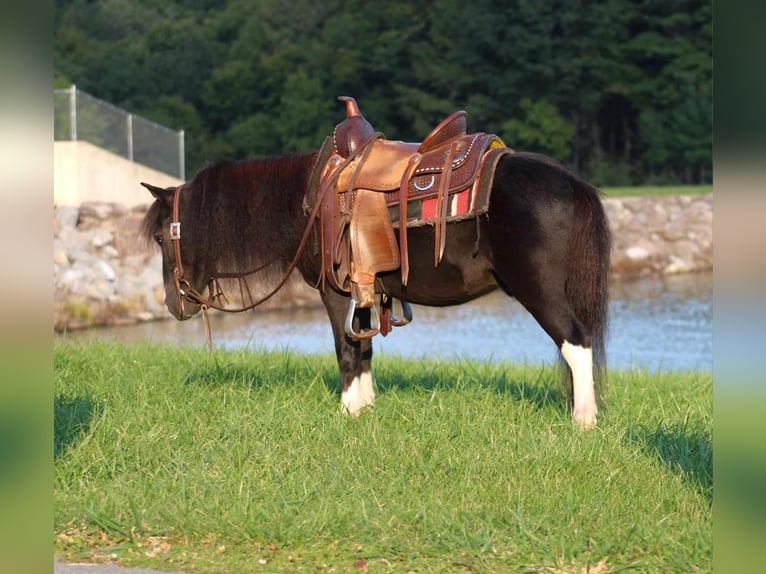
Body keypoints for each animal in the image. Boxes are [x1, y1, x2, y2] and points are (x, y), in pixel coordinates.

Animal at [142, 143, 612, 430]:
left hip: (539, 289)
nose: (172, 304)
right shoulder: (364, 291)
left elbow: (346, 348)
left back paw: (584, 419)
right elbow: (365, 347)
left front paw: (348, 409)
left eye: (162, 237)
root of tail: (573, 184)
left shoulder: (335, 292)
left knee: (576, 342)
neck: (308, 202)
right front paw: (366, 407)